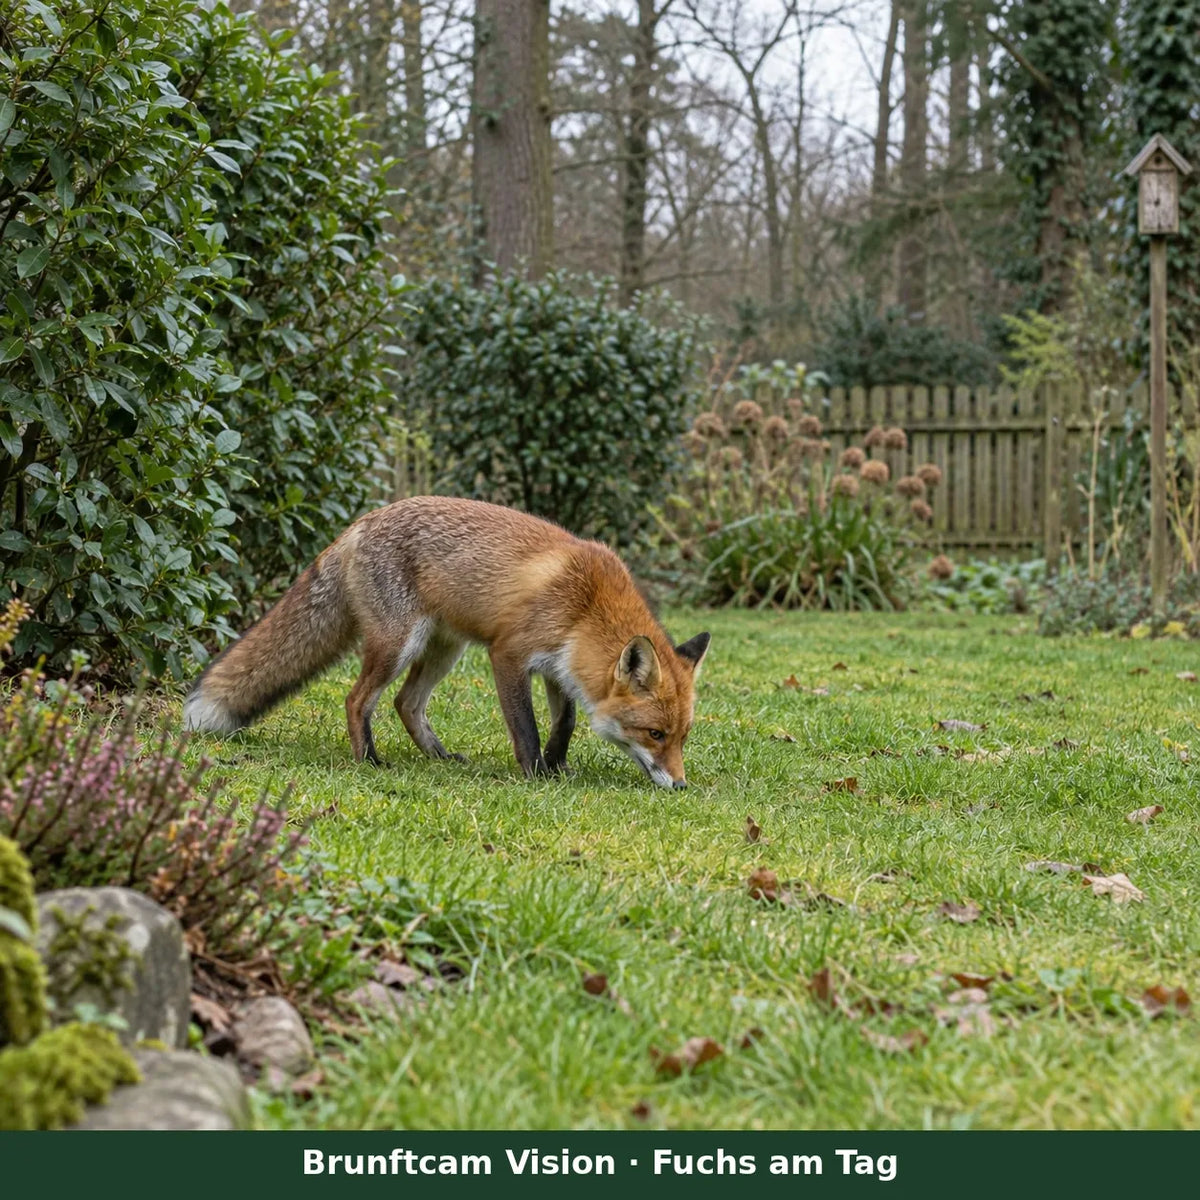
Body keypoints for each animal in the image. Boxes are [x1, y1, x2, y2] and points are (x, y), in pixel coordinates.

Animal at [183, 496, 710, 788]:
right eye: (655, 734)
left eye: (682, 737)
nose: (681, 786)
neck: (586, 606)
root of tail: (359, 523)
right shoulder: (509, 654)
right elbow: (526, 727)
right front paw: (536, 774)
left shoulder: (560, 668)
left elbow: (564, 723)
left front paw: (558, 767)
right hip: (398, 644)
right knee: (358, 699)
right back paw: (369, 759)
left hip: (443, 650)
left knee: (406, 703)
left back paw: (436, 756)